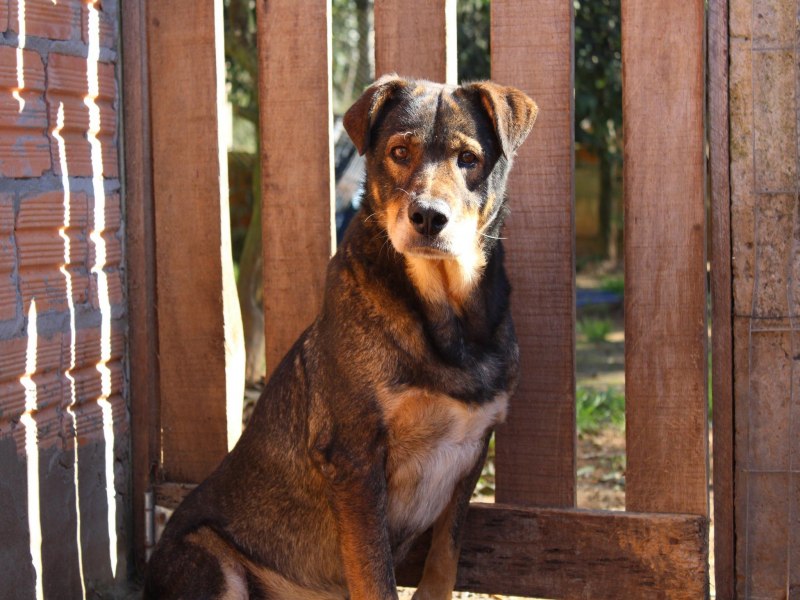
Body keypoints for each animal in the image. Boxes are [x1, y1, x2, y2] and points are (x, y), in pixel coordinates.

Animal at [145, 76, 536, 600]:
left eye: (469, 158)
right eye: (399, 151)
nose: (428, 217)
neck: (445, 318)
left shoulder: (471, 450)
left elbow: (445, 555)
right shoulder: (355, 458)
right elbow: (375, 575)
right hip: (211, 562)